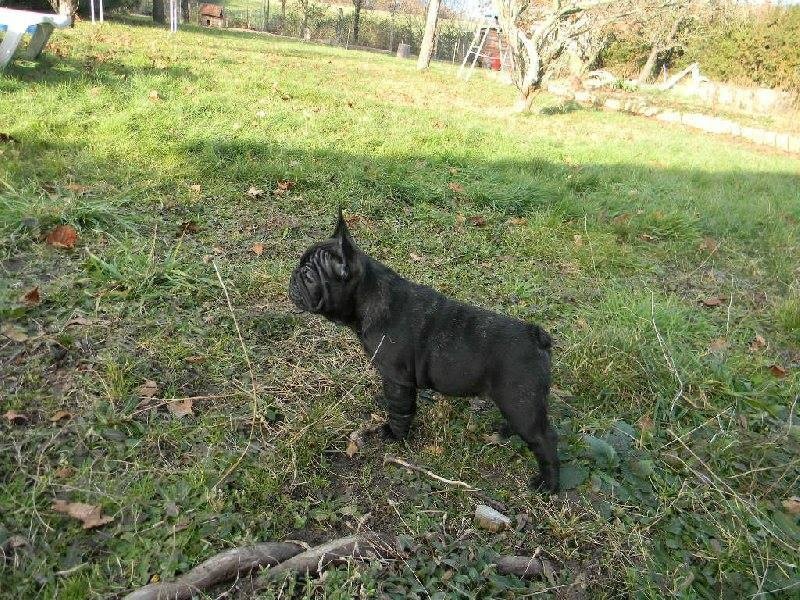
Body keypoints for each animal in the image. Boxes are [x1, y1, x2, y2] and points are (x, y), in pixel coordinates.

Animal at [290, 211, 560, 492]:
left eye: (309, 276)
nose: (294, 274)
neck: (369, 295)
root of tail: (536, 336)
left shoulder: (398, 379)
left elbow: (400, 410)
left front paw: (394, 435)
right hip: (516, 402)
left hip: (520, 401)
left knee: (544, 439)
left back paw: (548, 484)